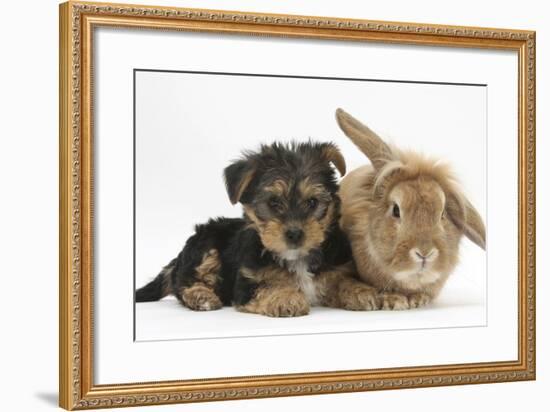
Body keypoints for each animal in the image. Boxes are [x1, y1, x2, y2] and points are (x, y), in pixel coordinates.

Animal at [136, 142, 382, 318]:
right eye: (273, 203)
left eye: (312, 203)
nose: (295, 233)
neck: (296, 258)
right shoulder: (248, 282)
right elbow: (267, 287)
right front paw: (286, 298)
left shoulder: (335, 268)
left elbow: (343, 280)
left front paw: (362, 292)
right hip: (206, 247)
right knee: (184, 282)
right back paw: (202, 296)